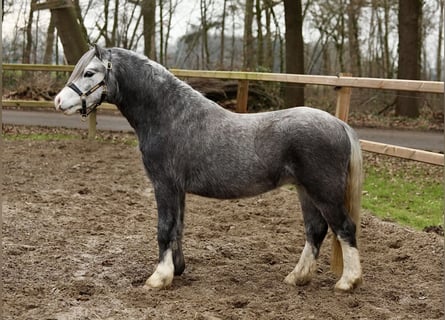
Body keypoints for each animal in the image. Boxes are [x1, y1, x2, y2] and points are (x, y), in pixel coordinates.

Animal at [55, 45, 362, 292]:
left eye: (90, 73)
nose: (58, 101)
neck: (170, 115)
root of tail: (339, 125)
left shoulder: (164, 185)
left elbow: (164, 228)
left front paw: (158, 278)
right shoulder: (177, 189)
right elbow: (177, 227)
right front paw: (176, 269)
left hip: (323, 192)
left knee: (344, 228)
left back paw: (348, 282)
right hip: (305, 191)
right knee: (316, 230)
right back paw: (297, 277)